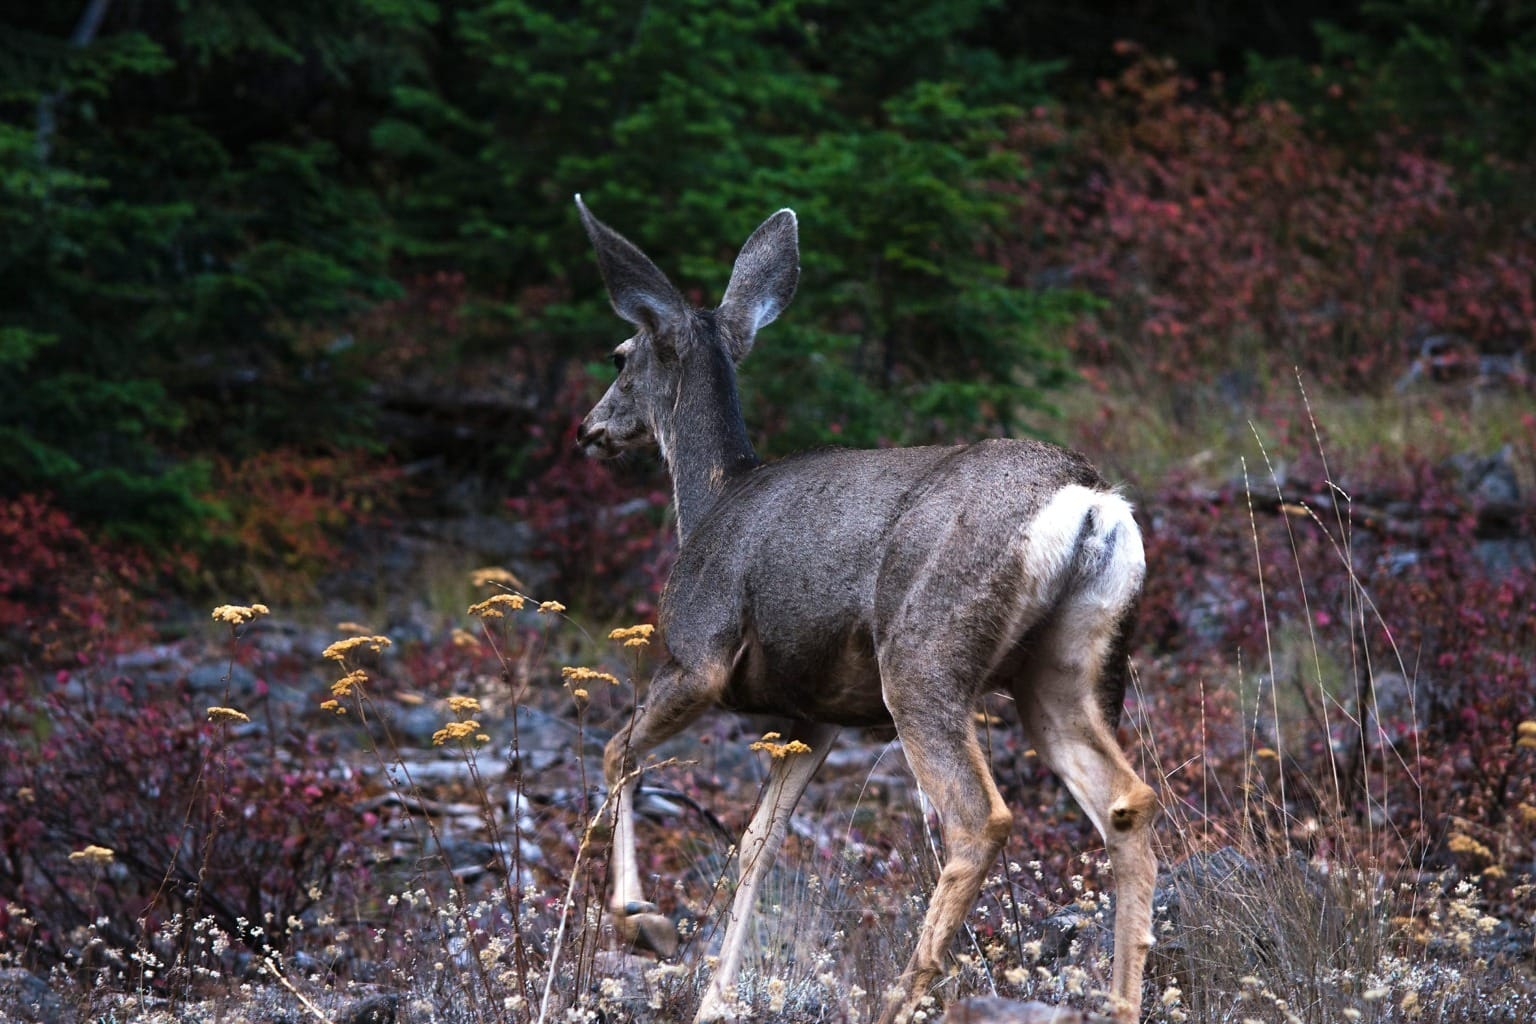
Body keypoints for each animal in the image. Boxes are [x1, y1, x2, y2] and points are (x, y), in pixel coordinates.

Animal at [571, 198, 1155, 1024]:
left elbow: (619, 751)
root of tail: (1090, 501)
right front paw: (714, 998)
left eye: (619, 355)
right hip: (1066, 669)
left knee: (979, 819)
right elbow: (757, 842)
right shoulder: (812, 714)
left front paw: (640, 918)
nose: (588, 429)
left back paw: (900, 998)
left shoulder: (699, 653)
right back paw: (1119, 1002)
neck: (711, 499)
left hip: (923, 656)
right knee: (1125, 801)